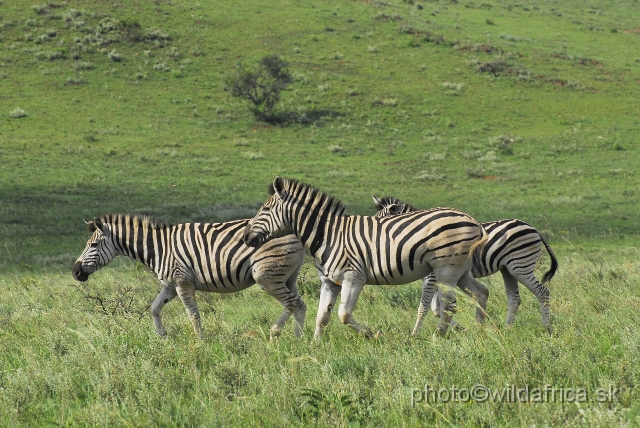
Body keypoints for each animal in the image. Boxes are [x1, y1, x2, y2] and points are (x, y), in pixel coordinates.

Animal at [72, 214, 308, 342]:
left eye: (93, 245)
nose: (75, 272)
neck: (159, 248)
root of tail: (293, 232)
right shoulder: (169, 286)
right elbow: (154, 308)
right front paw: (162, 337)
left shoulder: (182, 282)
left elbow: (193, 315)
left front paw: (200, 342)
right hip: (288, 277)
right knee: (300, 304)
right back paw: (299, 338)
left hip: (266, 276)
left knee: (291, 303)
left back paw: (275, 334)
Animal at [242, 176, 488, 340]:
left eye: (265, 210)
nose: (245, 237)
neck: (329, 235)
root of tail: (472, 219)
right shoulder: (329, 282)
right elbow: (322, 316)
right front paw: (315, 346)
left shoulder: (353, 278)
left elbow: (343, 315)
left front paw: (371, 333)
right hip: (460, 270)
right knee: (481, 292)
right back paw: (481, 329)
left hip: (446, 269)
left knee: (448, 304)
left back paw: (439, 335)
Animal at [372, 196, 556, 332]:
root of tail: (533, 228)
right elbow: (436, 309)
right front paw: (459, 328)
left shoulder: (432, 276)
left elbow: (432, 307)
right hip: (508, 269)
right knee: (514, 299)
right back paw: (506, 329)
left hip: (521, 266)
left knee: (542, 292)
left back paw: (546, 327)